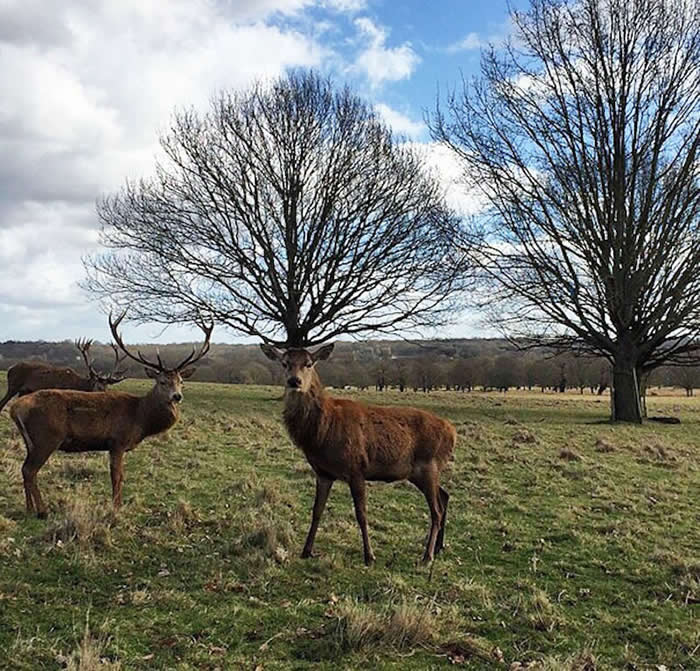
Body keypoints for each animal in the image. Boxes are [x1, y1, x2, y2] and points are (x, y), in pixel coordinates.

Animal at [9, 313, 213, 518]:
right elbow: (117, 476)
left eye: (181, 381)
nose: (177, 396)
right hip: (47, 437)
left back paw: (29, 508)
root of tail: (16, 408)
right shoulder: (117, 441)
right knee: (30, 470)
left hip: (31, 442)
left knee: (25, 469)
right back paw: (42, 511)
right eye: (162, 381)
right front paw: (116, 508)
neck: (140, 418)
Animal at [261, 343, 457, 565]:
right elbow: (317, 510)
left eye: (309, 363)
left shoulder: (356, 468)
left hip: (429, 465)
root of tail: (453, 433)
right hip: (420, 473)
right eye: (284, 363)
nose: (294, 381)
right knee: (444, 496)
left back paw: (427, 556)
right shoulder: (323, 473)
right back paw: (439, 547)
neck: (322, 432)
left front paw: (369, 556)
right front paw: (306, 550)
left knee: (436, 511)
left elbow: (361, 513)